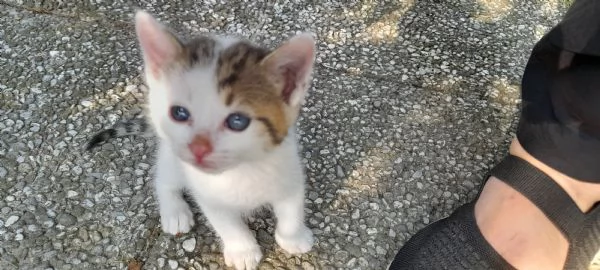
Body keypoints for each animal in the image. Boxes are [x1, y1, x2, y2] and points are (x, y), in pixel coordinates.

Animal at [88, 11, 316, 270]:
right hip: (172, 157)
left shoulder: (289, 171)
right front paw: (243, 250)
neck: (240, 170)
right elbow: (227, 223)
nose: (198, 148)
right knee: (164, 178)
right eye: (179, 113)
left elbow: (292, 210)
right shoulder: (207, 194)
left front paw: (293, 238)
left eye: (237, 121)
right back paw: (174, 211)